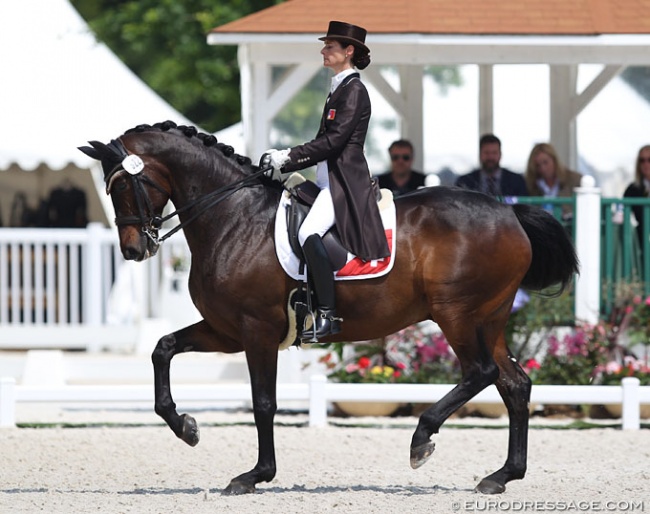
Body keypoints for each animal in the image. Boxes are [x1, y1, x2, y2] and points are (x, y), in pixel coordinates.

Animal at [79, 119, 576, 492]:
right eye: (109, 188)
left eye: (125, 185)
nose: (133, 251)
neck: (233, 217)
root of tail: (508, 212)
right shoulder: (225, 330)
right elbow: (162, 348)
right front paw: (186, 427)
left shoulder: (257, 330)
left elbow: (263, 402)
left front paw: (255, 475)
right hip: (488, 318)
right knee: (514, 384)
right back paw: (501, 476)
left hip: (455, 313)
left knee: (481, 373)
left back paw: (422, 439)